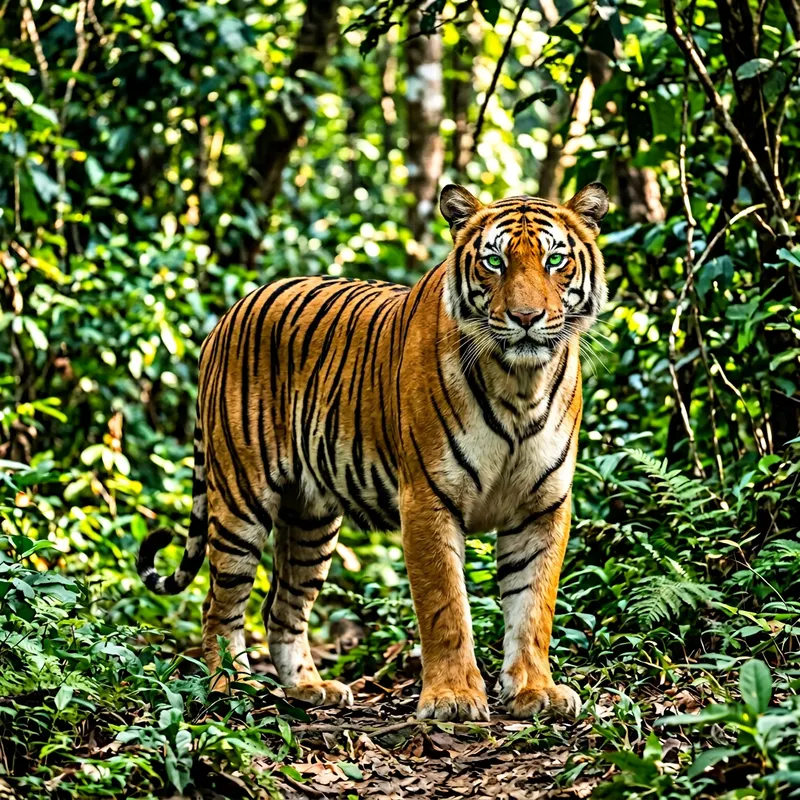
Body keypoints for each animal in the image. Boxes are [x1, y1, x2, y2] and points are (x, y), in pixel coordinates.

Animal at [138, 182, 609, 722]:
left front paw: (535, 691)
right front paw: (453, 698)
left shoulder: (542, 505)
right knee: (219, 605)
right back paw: (228, 690)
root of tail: (229, 314)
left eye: (555, 260)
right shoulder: (428, 498)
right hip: (241, 500)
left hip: (311, 520)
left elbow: (533, 607)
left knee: (281, 608)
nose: (526, 319)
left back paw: (309, 688)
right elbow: (445, 604)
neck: (520, 383)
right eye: (494, 260)